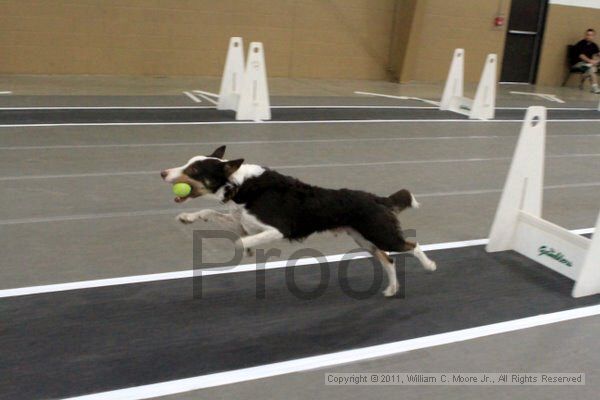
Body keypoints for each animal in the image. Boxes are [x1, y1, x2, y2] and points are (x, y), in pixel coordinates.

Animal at [161, 147, 436, 296]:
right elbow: (210, 212)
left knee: (411, 246)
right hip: (364, 239)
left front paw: (247, 249)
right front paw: (187, 217)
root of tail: (378, 199)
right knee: (388, 259)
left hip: (381, 233)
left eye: (194, 171)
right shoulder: (243, 220)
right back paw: (392, 289)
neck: (240, 185)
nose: (163, 173)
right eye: (187, 164)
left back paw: (430, 265)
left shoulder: (278, 230)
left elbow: (240, 241)